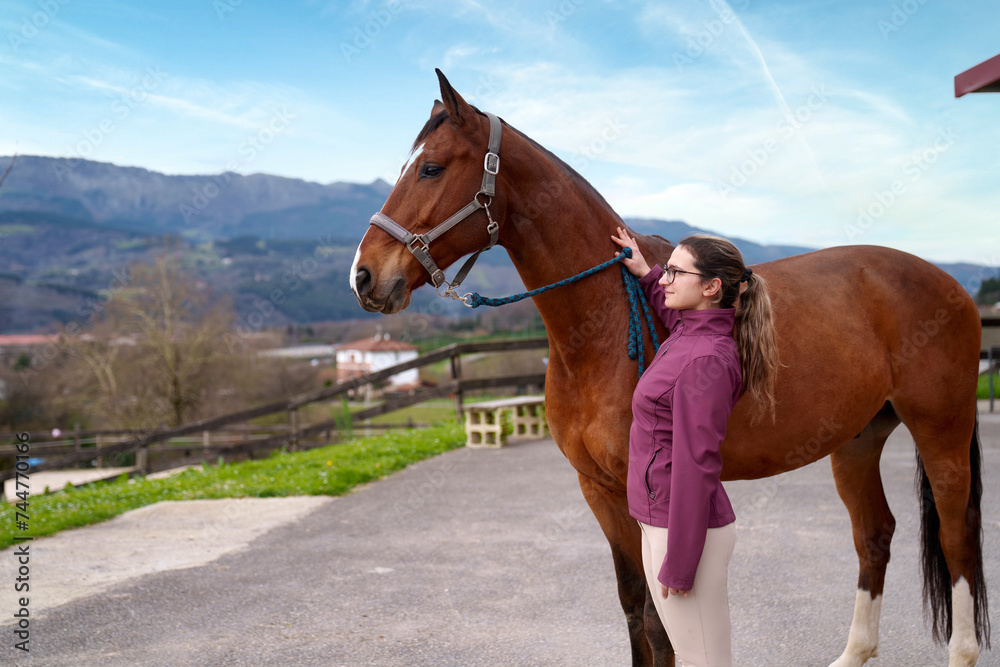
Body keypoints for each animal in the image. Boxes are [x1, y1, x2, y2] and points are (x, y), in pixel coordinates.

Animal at [350, 69, 989, 667]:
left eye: (431, 169)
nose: (364, 276)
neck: (604, 323)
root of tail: (948, 283)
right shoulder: (600, 491)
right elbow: (634, 602)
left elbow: (661, 620)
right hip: (856, 440)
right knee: (874, 535)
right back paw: (854, 652)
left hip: (942, 432)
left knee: (957, 538)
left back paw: (962, 652)